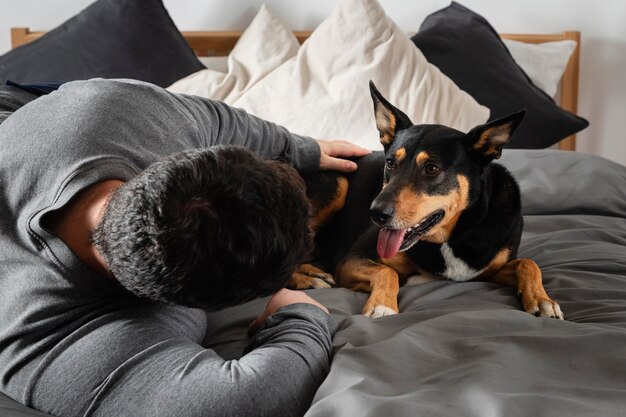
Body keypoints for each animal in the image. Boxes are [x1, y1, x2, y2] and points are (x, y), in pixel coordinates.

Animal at [290, 82, 564, 322]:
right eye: (390, 163)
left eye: (431, 169)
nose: (376, 214)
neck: (452, 236)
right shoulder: (351, 259)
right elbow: (387, 271)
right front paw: (382, 306)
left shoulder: (490, 269)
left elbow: (528, 263)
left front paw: (543, 301)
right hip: (338, 184)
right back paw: (309, 279)